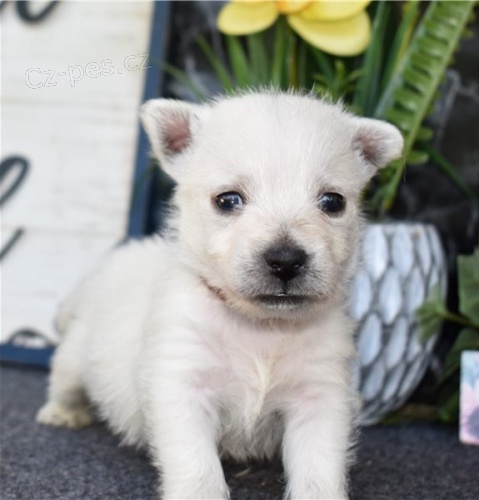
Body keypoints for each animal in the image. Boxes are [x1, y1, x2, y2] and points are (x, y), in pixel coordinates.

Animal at [38, 91, 404, 500]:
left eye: (333, 202)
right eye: (228, 200)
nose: (285, 260)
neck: (263, 328)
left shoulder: (320, 395)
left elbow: (319, 469)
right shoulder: (182, 384)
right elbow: (198, 466)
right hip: (77, 351)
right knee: (64, 379)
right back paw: (63, 412)